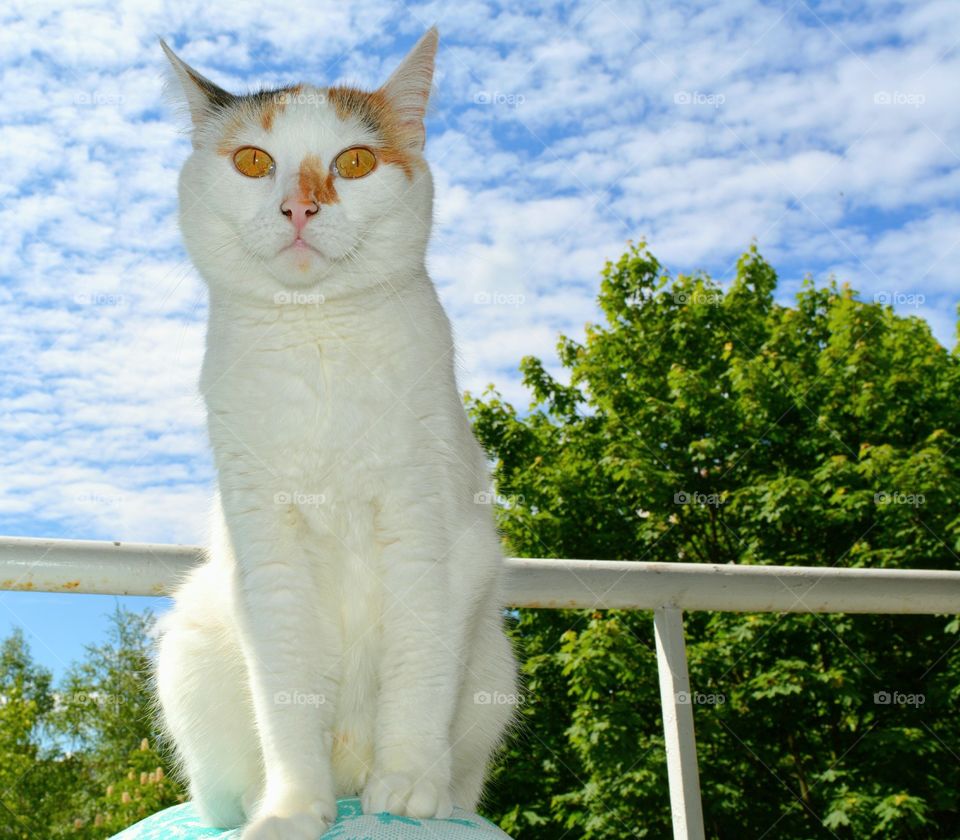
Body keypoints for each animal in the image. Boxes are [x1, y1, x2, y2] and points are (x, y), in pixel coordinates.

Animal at [154, 27, 520, 840]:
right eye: (252, 161)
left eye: (354, 161)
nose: (300, 207)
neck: (317, 337)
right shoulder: (266, 547)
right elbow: (287, 693)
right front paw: (291, 810)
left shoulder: (428, 530)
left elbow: (418, 668)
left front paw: (408, 787)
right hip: (189, 642)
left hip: (494, 671)